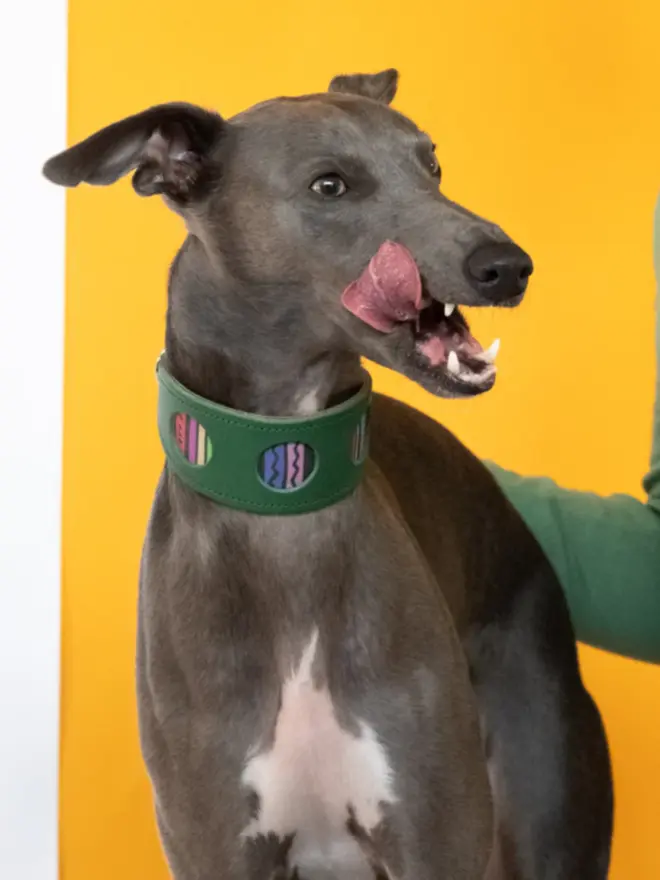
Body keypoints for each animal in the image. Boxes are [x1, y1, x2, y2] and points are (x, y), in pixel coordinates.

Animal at [43, 70, 612, 880]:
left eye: (432, 165)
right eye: (330, 185)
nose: (506, 265)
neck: (286, 484)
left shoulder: (436, 837)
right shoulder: (216, 848)